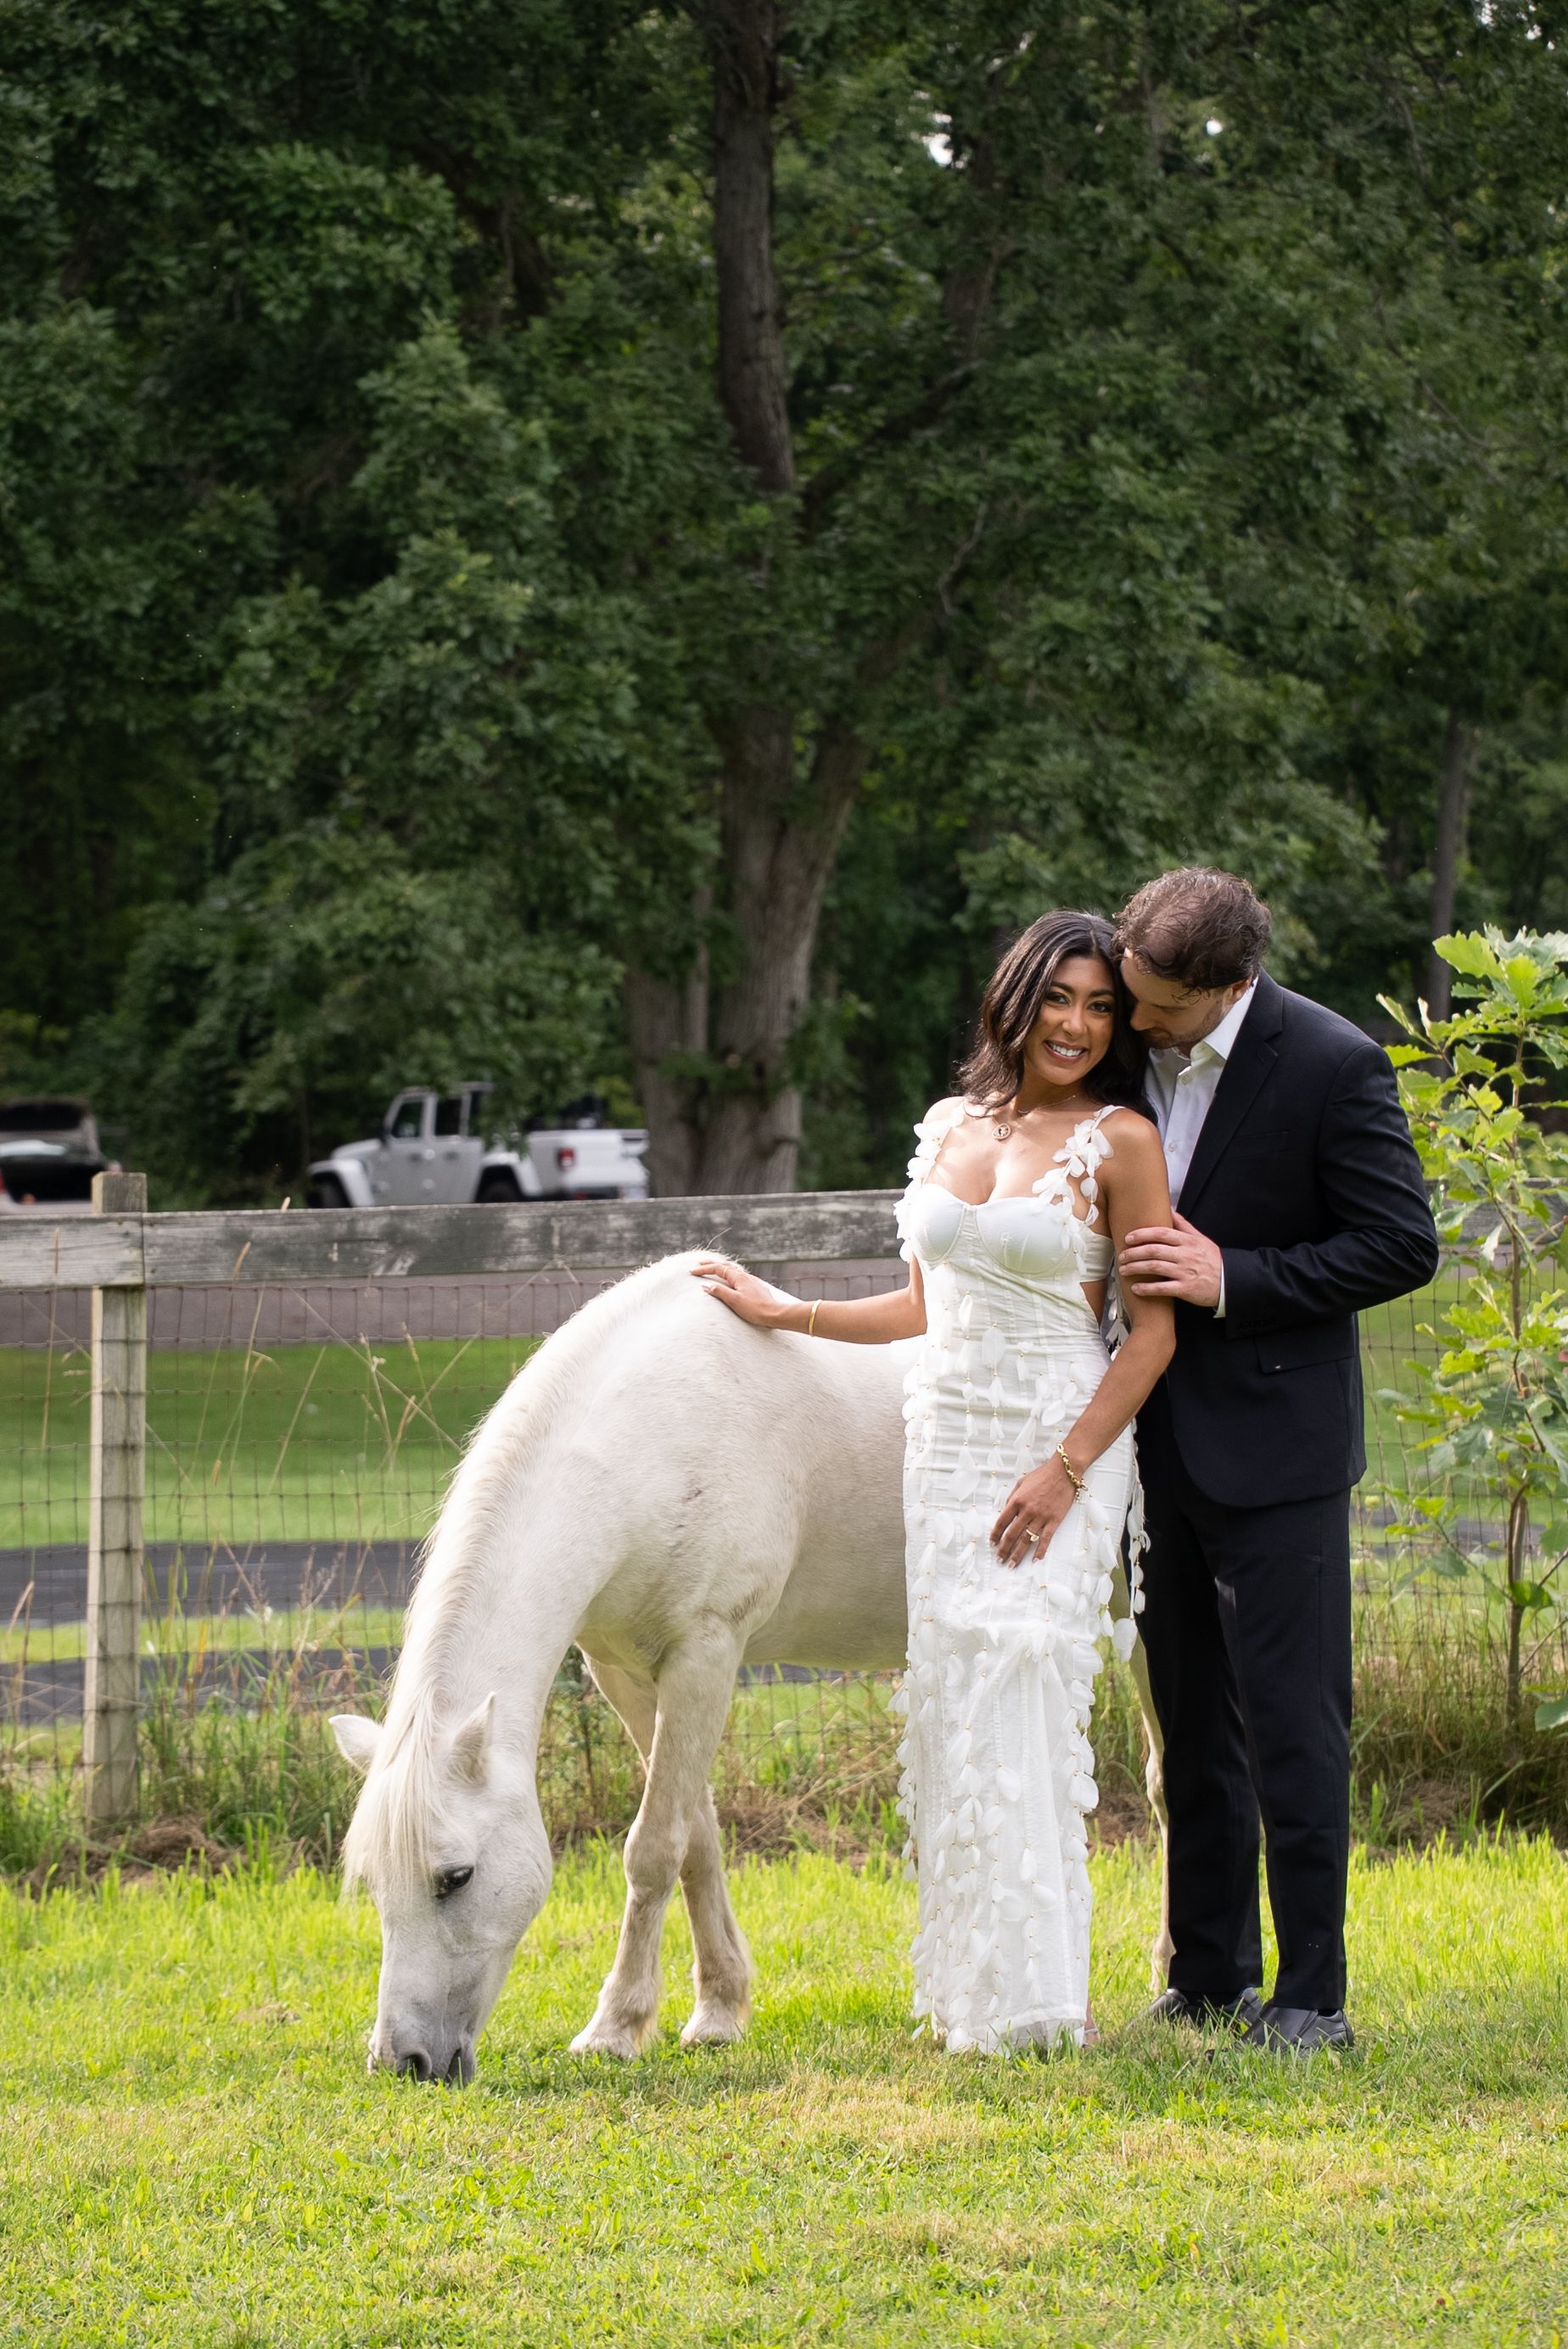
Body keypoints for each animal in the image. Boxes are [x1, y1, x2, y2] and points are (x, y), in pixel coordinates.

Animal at [331, 1252, 1167, 2083]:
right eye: (373, 1883)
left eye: (456, 1877)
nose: (403, 2059)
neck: (651, 1436)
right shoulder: (628, 1673)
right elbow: (696, 1838)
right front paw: (720, 2010)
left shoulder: (706, 1653)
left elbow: (653, 1848)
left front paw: (617, 2026)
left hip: (1139, 1630)